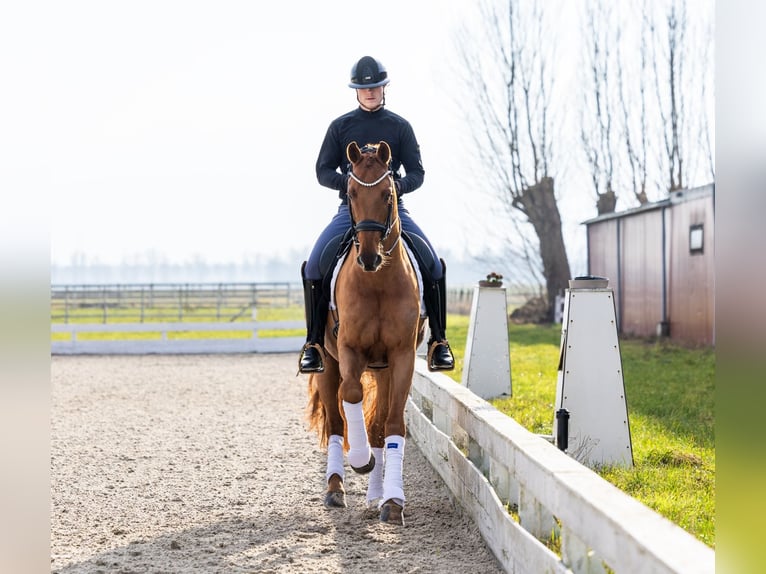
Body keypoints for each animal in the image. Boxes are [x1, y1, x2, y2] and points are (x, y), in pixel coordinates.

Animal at [306, 140, 426, 525]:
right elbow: (352, 393)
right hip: (327, 363)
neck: (378, 282)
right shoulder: (349, 350)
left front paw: (393, 501)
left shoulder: (401, 357)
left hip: (384, 369)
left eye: (388, 195)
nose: (370, 258)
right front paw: (360, 460)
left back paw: (376, 496)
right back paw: (335, 489)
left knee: (377, 426)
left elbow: (392, 425)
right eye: (351, 193)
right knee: (334, 423)